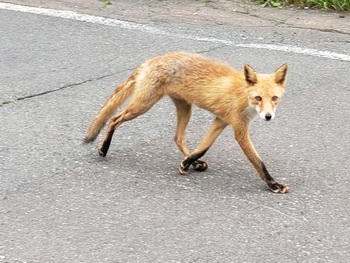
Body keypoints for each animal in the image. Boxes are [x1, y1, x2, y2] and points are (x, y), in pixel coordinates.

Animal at [84, 52, 288, 194]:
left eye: (274, 98)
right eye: (258, 98)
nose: (268, 116)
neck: (243, 95)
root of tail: (152, 60)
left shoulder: (221, 121)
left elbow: (203, 147)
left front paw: (187, 163)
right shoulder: (239, 129)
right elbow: (258, 161)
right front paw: (273, 184)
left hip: (184, 109)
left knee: (178, 138)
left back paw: (194, 163)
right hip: (143, 105)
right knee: (113, 119)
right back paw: (103, 148)